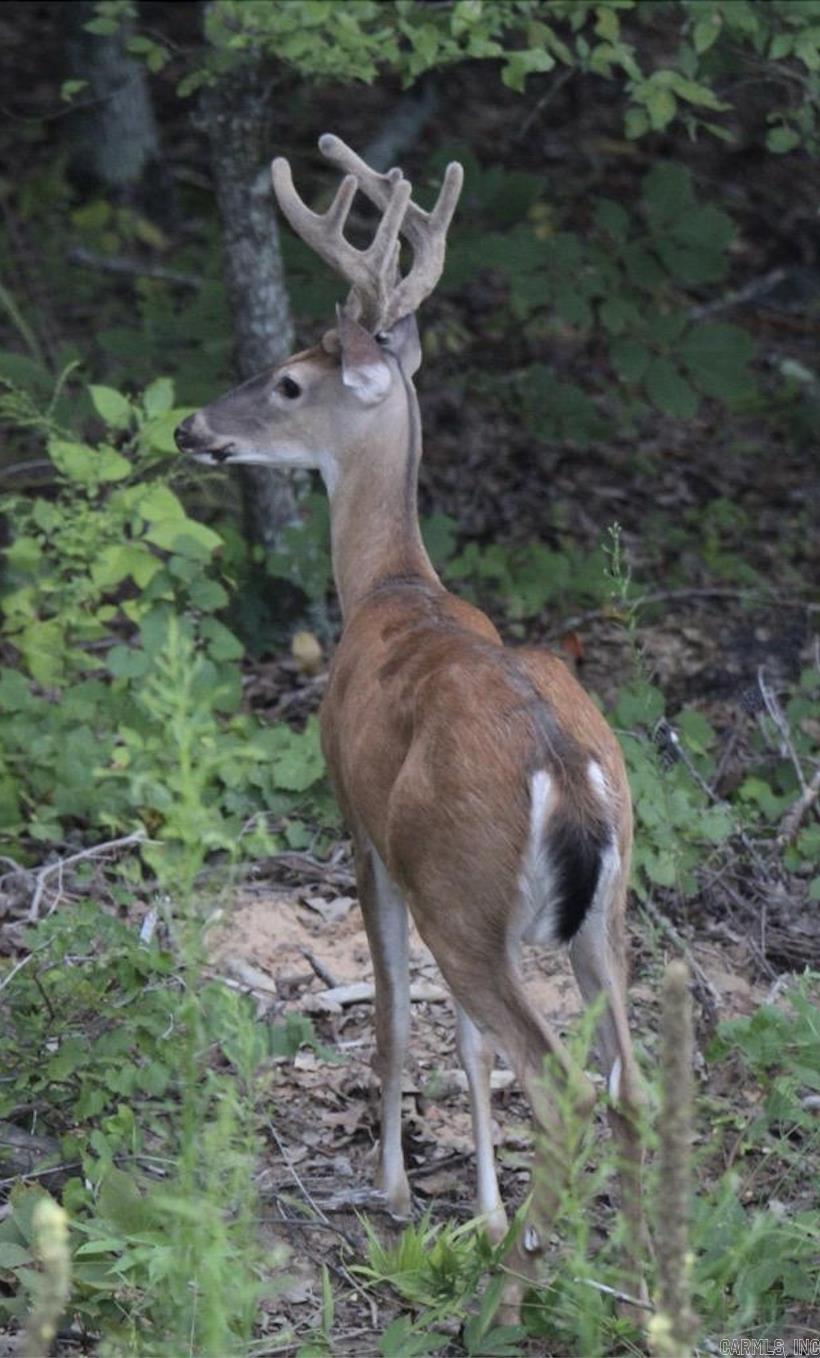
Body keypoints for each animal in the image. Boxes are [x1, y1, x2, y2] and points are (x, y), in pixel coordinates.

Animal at [176, 132, 648, 1319]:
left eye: (289, 380)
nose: (191, 426)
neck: (392, 586)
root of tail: (567, 775)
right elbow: (465, 1048)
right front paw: (476, 1204)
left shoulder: (363, 826)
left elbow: (394, 1014)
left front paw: (394, 1187)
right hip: (606, 909)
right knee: (632, 1081)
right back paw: (637, 1281)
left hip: (465, 894)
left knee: (563, 1084)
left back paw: (511, 1294)